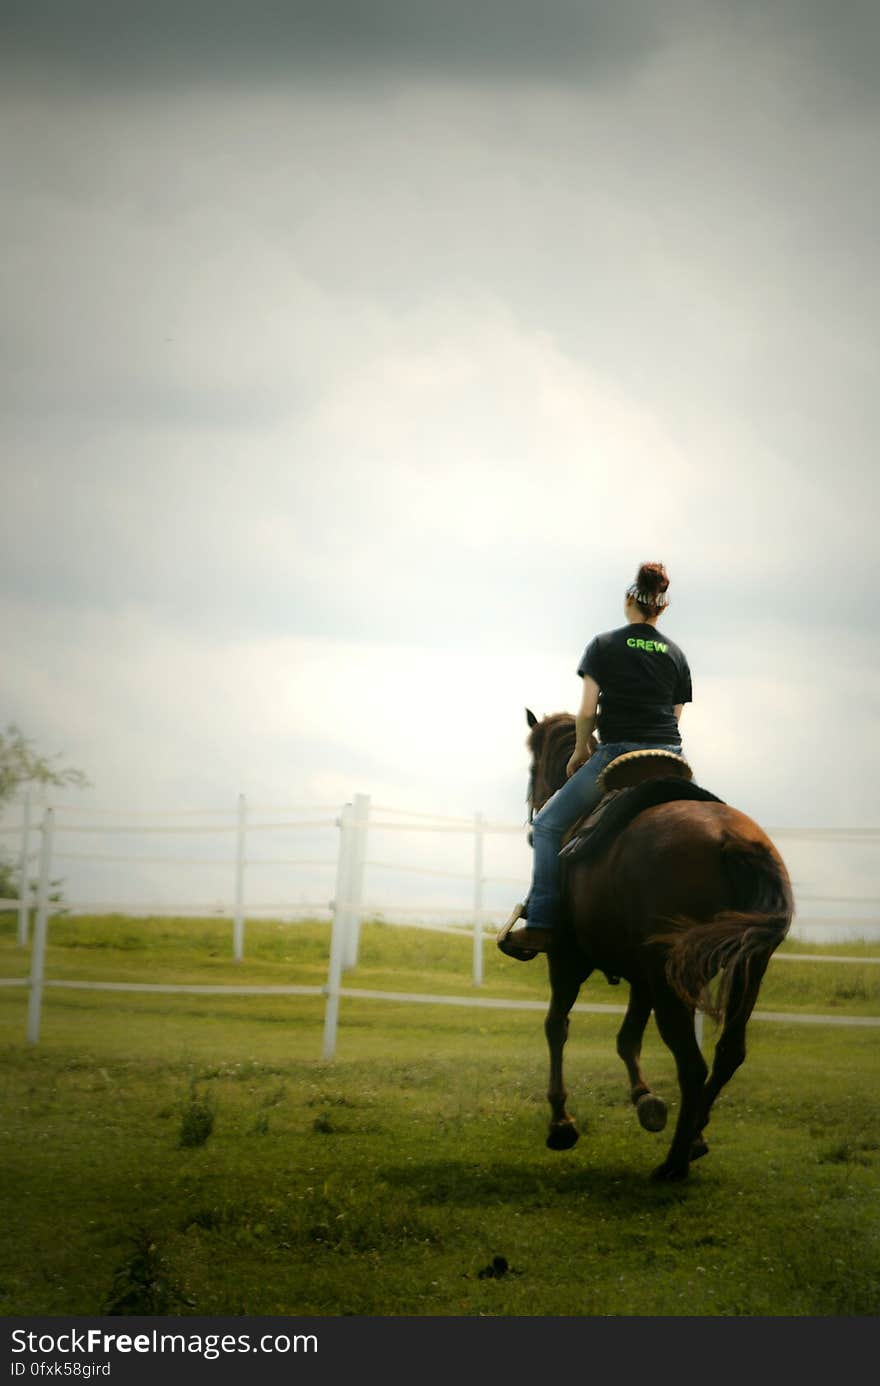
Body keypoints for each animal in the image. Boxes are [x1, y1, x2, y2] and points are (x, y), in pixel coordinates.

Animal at [512, 715, 792, 1180]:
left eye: (533, 766)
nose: (535, 817)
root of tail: (728, 838)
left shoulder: (567, 960)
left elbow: (557, 1027)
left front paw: (561, 1124)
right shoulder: (642, 977)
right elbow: (627, 1039)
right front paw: (646, 1101)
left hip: (668, 980)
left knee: (692, 1065)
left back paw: (673, 1164)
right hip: (744, 968)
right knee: (728, 1054)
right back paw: (694, 1137)